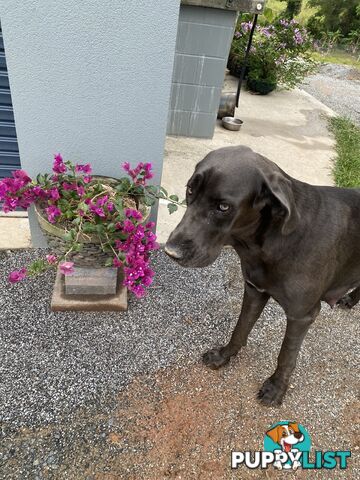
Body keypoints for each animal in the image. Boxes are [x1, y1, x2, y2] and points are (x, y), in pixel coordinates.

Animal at [165, 145, 358, 404]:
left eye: (223, 207)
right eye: (190, 190)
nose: (170, 251)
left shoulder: (302, 315)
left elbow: (286, 355)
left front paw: (276, 388)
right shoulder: (255, 291)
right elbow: (240, 329)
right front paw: (223, 356)